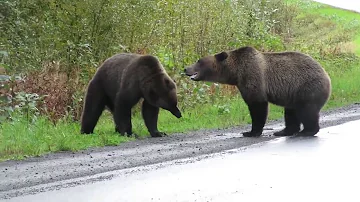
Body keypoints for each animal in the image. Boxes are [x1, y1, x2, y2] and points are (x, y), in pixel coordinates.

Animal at [186, 46, 332, 137]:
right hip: (293, 94)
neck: (235, 73)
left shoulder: (252, 77)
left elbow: (257, 107)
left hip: (307, 88)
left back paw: (307, 131)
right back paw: (284, 131)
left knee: (307, 111)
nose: (185, 68)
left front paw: (250, 132)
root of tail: (327, 75)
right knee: (291, 112)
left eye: (199, 61)